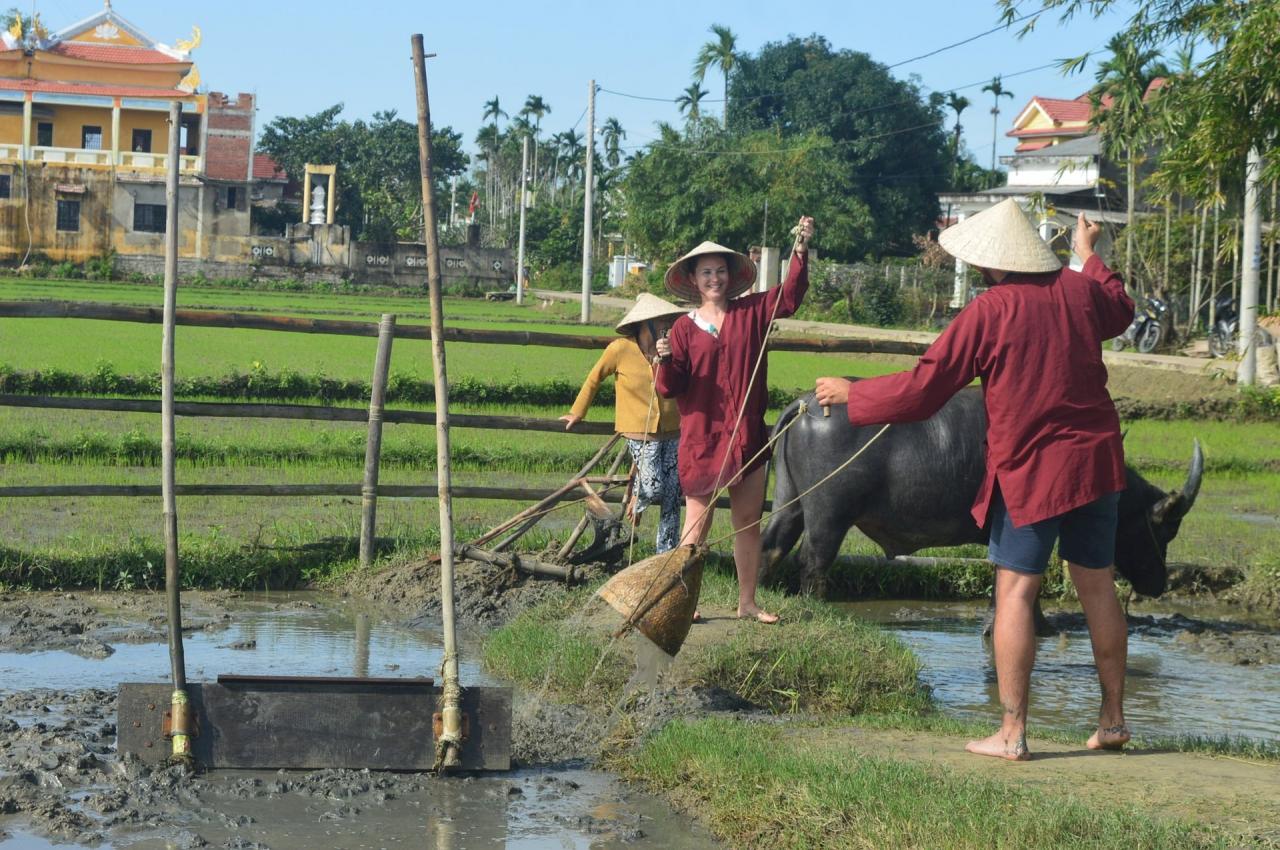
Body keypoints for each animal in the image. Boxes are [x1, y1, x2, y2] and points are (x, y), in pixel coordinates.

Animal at [762, 384, 1203, 596]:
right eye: (1164, 529)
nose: (1159, 584)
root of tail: (806, 404)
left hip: (790, 500)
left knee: (771, 544)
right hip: (829, 513)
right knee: (813, 561)